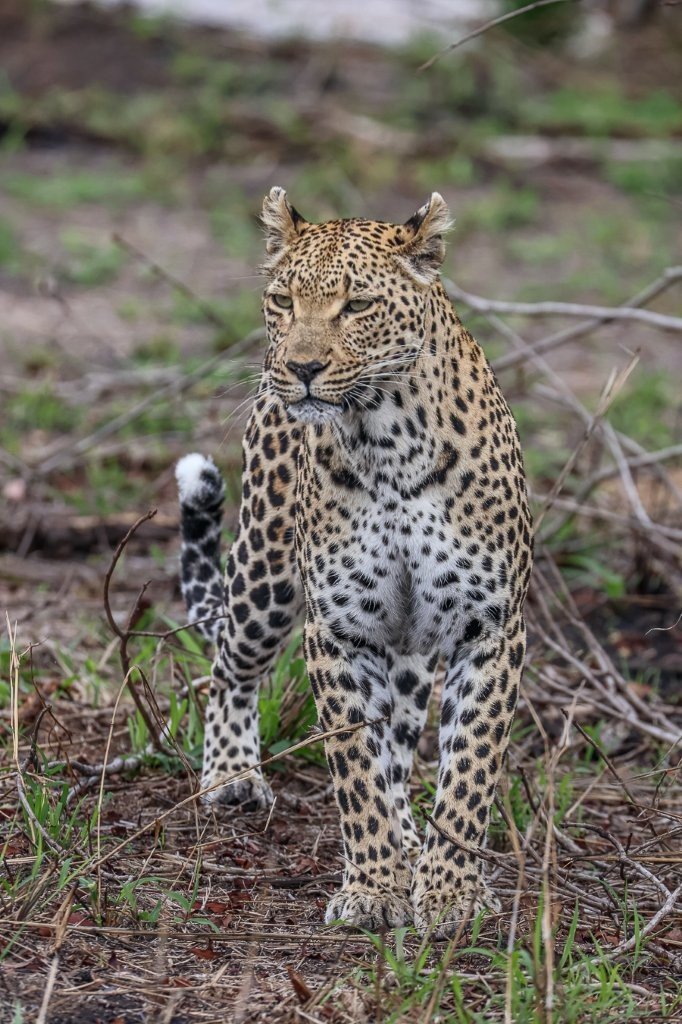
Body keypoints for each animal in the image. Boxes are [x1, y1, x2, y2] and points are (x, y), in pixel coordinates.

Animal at [175, 187, 533, 937]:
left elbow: (469, 767)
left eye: (358, 305)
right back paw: (232, 776)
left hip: (409, 647)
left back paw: (412, 844)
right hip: (267, 577)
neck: (387, 440)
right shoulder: (336, 628)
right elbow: (354, 770)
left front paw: (449, 892)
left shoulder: (490, 627)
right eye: (282, 299)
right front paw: (372, 888)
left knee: (397, 743)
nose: (301, 369)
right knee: (230, 665)